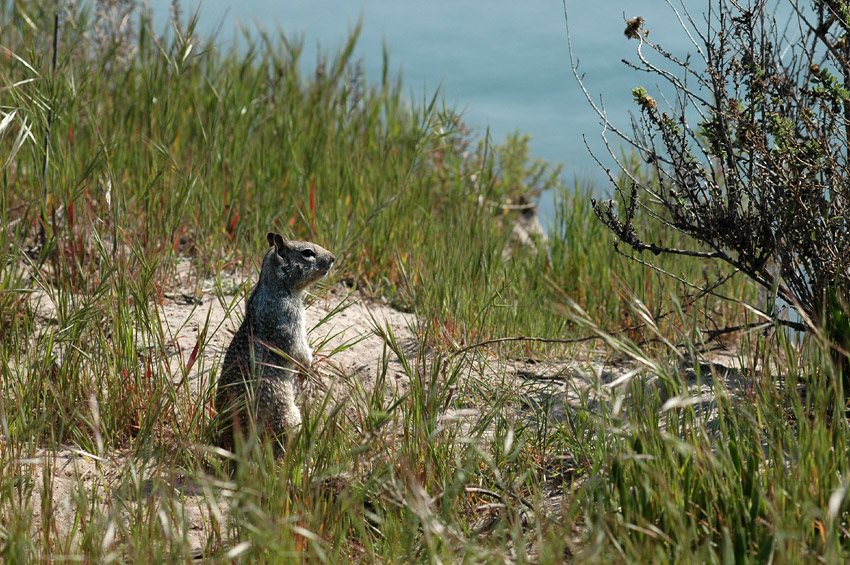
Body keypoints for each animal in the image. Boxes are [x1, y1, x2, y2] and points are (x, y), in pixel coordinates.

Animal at [215, 231, 334, 452]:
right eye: (307, 253)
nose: (333, 258)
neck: (274, 285)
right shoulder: (289, 317)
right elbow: (298, 348)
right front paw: (306, 370)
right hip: (286, 415)